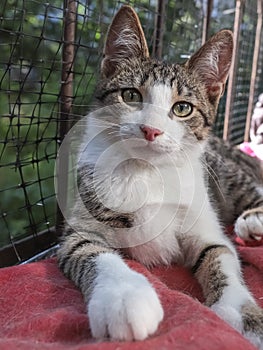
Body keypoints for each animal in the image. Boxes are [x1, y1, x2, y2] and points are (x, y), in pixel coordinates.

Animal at [57, 5, 263, 348]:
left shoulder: (205, 225)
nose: (150, 129)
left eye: (182, 108)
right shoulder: (80, 224)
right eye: (130, 95)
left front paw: (242, 314)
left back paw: (253, 219)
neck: (146, 172)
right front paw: (124, 297)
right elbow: (89, 251)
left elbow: (219, 254)